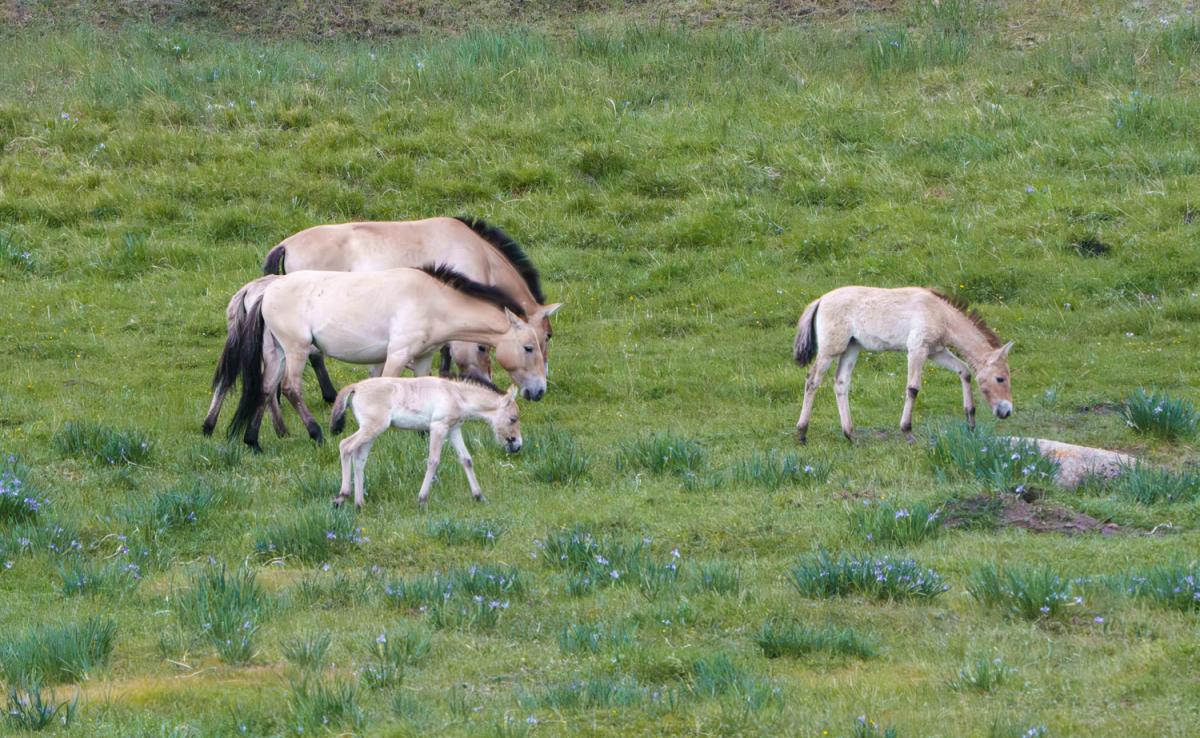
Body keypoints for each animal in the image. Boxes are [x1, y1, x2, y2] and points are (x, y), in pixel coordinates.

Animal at [221, 265, 552, 451]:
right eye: (528, 347)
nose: (539, 391)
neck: (432, 301)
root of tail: (269, 289)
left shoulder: (423, 358)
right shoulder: (397, 354)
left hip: (277, 352)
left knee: (266, 390)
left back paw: (253, 442)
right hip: (296, 349)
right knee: (290, 388)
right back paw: (317, 434)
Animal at [262, 216, 560, 401]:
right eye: (546, 337)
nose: (542, 387)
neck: (477, 249)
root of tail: (285, 245)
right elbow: (453, 349)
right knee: (313, 356)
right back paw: (329, 395)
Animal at [329, 376, 522, 509]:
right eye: (513, 419)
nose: (518, 445)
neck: (456, 394)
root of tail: (356, 387)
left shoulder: (453, 429)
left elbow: (466, 459)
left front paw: (479, 496)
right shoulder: (438, 427)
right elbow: (433, 461)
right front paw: (422, 500)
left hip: (372, 431)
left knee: (359, 458)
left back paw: (359, 503)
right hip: (372, 427)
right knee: (345, 446)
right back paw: (341, 496)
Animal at [792, 286, 1014, 443]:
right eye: (1000, 378)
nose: (1006, 412)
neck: (940, 313)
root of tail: (820, 300)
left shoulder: (936, 352)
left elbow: (964, 371)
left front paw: (971, 422)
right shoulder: (917, 349)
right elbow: (913, 388)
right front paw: (907, 432)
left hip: (851, 348)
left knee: (840, 383)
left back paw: (851, 435)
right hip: (831, 349)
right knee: (813, 380)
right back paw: (802, 433)